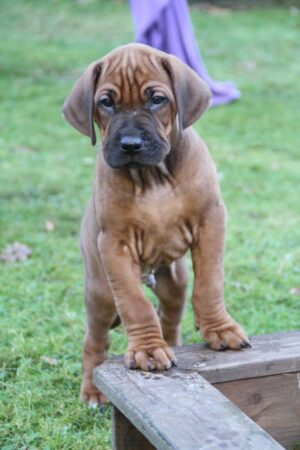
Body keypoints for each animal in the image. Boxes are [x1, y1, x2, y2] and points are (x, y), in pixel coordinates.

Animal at [62, 44, 250, 406]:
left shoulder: (210, 222)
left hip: (174, 281)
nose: (130, 144)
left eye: (157, 99)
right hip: (100, 292)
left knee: (170, 316)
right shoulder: (115, 245)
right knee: (95, 341)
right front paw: (147, 351)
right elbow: (136, 305)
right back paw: (93, 390)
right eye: (106, 103)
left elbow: (210, 284)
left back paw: (173, 344)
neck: (152, 177)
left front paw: (219, 328)